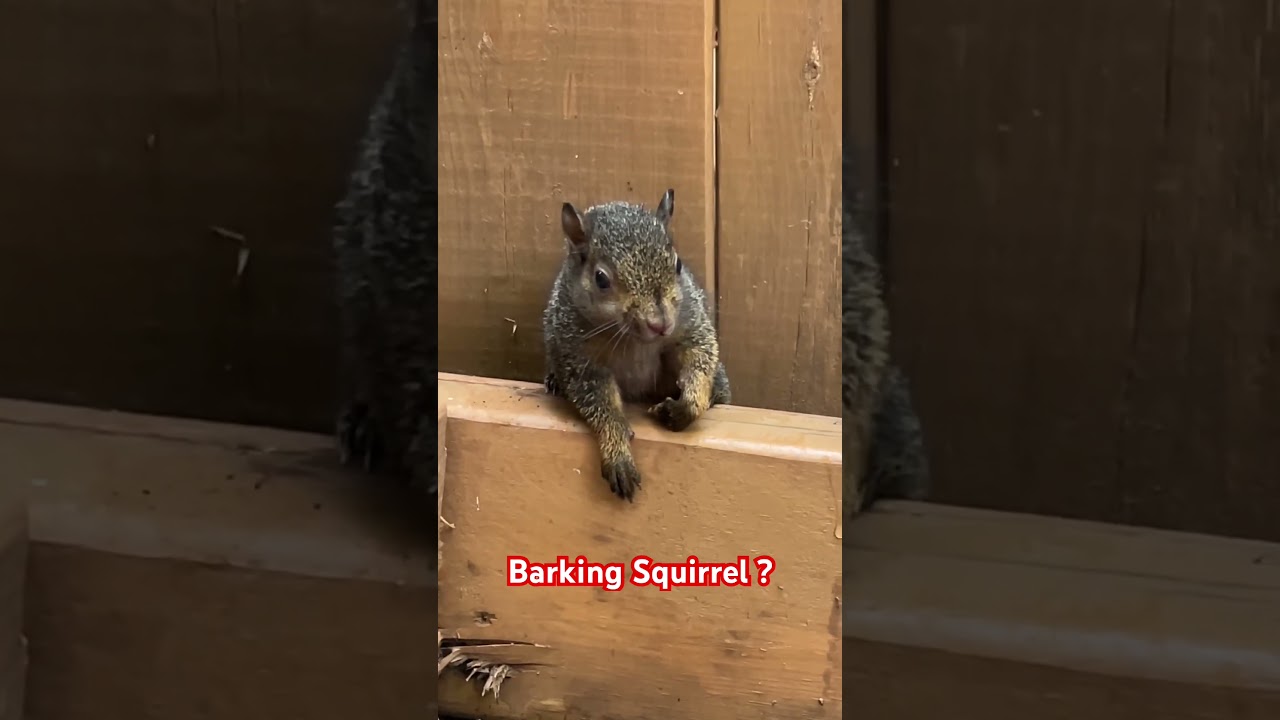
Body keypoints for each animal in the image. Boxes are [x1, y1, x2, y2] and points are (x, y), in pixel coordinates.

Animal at [542, 189, 731, 502]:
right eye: (600, 278)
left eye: (678, 264)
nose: (660, 324)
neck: (635, 340)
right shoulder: (580, 359)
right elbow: (602, 406)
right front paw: (618, 453)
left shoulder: (690, 326)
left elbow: (699, 360)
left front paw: (682, 409)